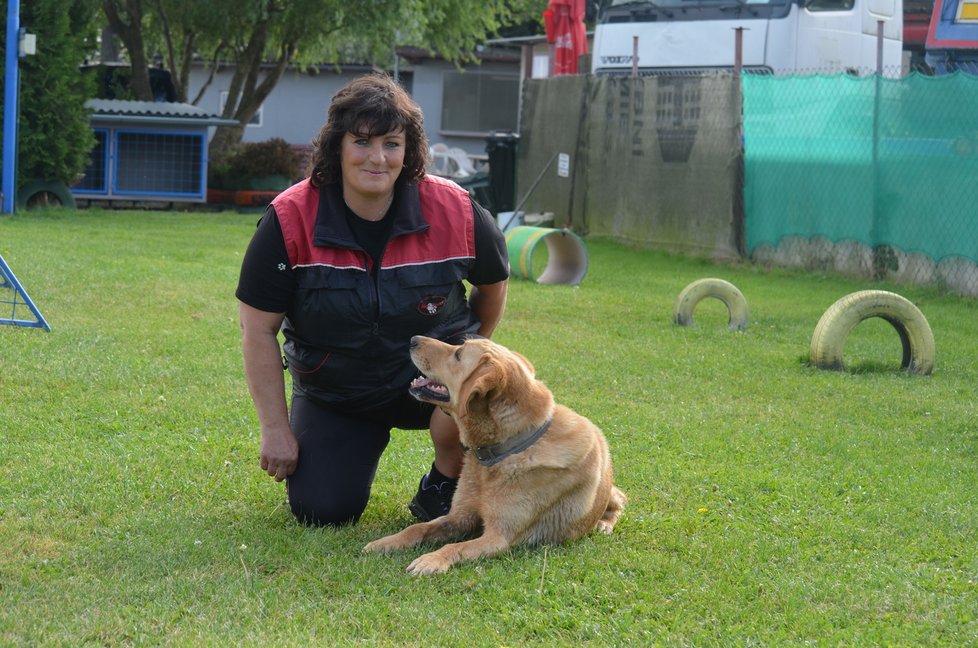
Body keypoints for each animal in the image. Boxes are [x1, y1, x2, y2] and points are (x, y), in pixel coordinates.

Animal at [360, 336, 624, 576]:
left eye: (458, 355)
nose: (413, 339)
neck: (505, 450)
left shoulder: (499, 537)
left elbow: (454, 547)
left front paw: (431, 560)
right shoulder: (459, 516)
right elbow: (417, 529)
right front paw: (386, 543)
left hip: (612, 496)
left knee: (621, 501)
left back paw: (603, 524)